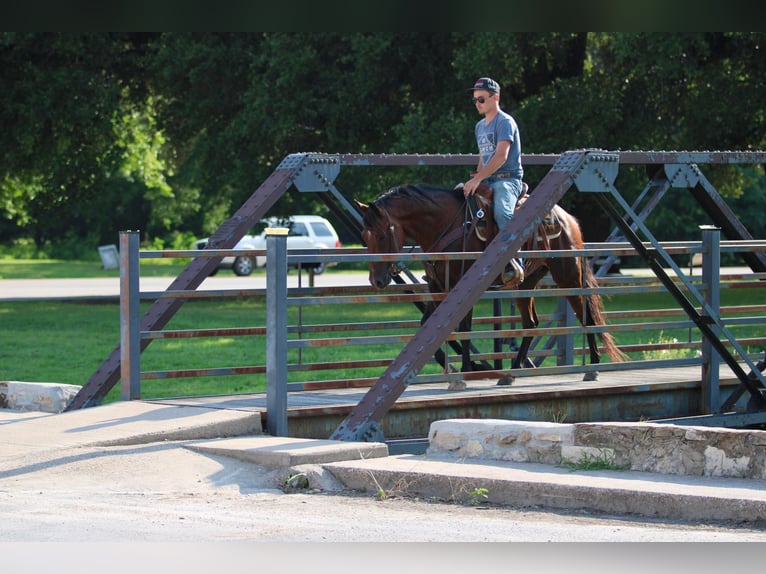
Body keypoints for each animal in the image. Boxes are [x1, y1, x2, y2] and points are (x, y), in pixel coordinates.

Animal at [356, 182, 628, 384]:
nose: (376, 280)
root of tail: (566, 217)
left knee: (586, 317)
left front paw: (468, 368)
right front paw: (454, 367)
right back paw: (513, 371)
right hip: (526, 283)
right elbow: (428, 326)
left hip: (568, 275)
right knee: (531, 323)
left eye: (382, 235)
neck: (446, 223)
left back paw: (592, 368)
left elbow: (464, 328)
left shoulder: (462, 286)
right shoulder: (438, 287)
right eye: (364, 237)